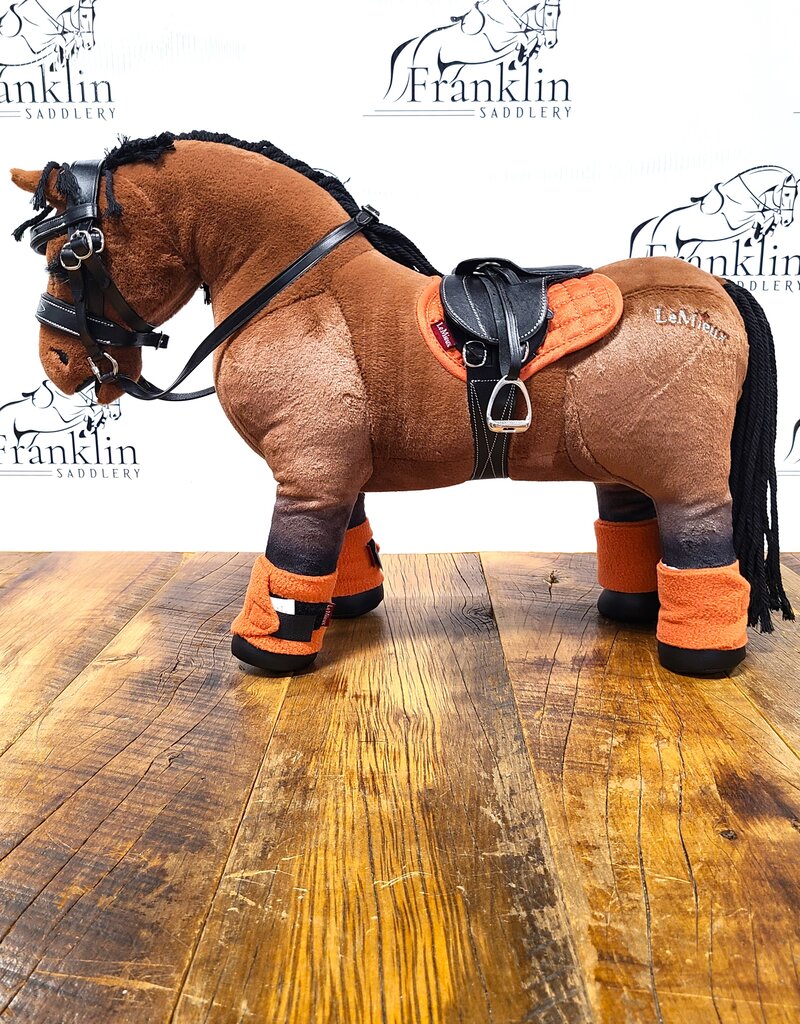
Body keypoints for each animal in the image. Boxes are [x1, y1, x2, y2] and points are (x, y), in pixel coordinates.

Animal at [385, 0, 560, 102]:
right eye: (549, 13)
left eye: (559, 13)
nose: (552, 42)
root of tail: (418, 42)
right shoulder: (498, 43)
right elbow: (522, 38)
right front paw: (518, 60)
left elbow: (532, 38)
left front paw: (527, 55)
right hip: (430, 71)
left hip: (450, 72)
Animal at [630, 166, 799, 261]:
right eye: (787, 194)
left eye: (796, 194)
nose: (788, 221)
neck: (742, 194)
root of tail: (657, 222)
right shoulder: (735, 222)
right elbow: (760, 216)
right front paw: (755, 236)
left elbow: (767, 216)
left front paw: (763, 232)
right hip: (666, 247)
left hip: (688, 247)